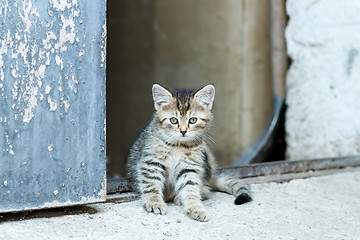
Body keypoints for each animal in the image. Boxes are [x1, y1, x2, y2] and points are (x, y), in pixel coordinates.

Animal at [128, 84, 252, 221]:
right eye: (173, 120)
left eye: (192, 120)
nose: (183, 131)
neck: (178, 146)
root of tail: (212, 177)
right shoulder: (151, 163)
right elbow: (151, 185)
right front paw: (154, 203)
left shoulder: (189, 167)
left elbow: (191, 188)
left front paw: (195, 208)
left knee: (206, 189)